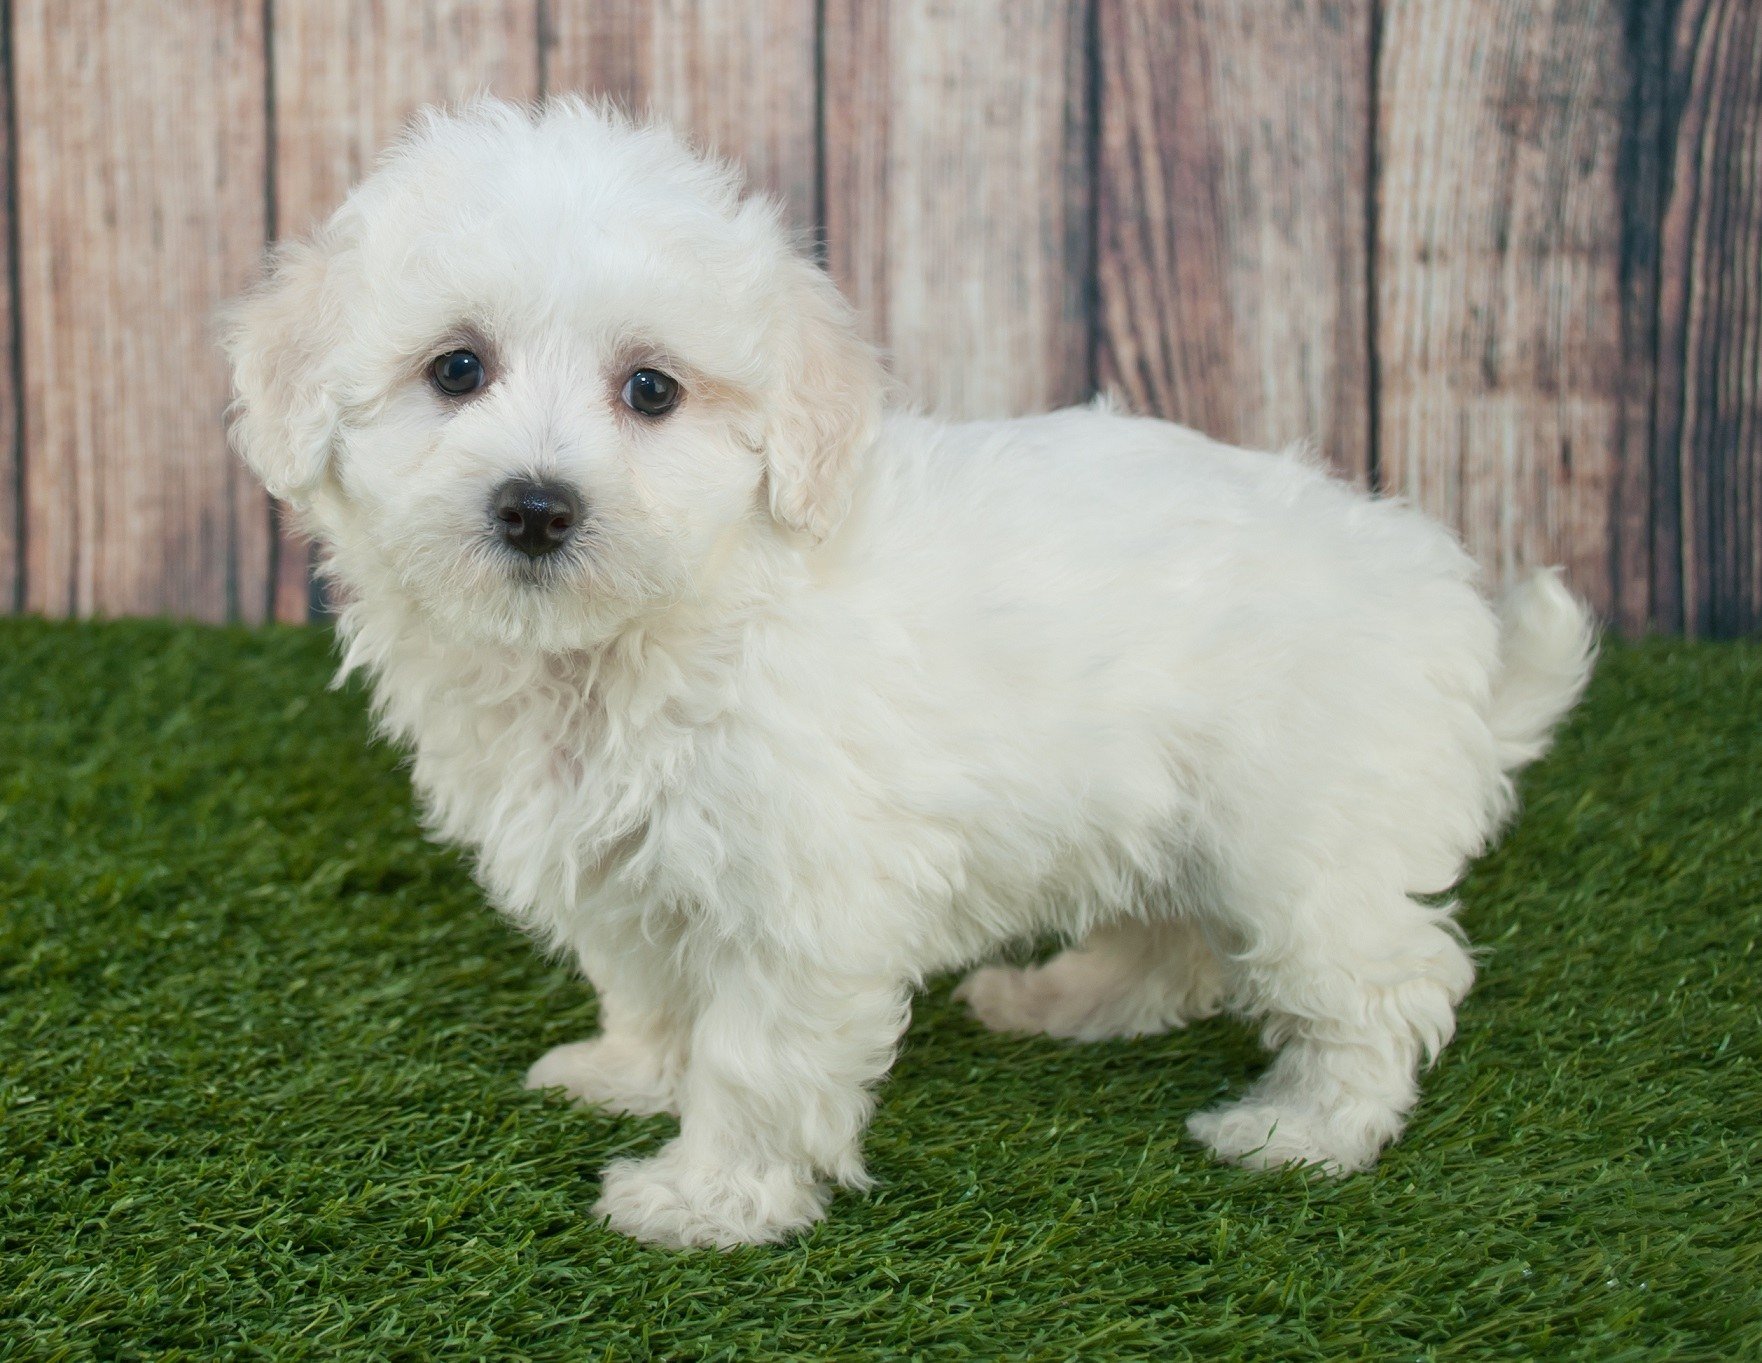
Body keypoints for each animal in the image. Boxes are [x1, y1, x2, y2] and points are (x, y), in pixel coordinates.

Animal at [220, 101, 1599, 1253]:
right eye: (455, 368)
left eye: (651, 390)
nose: (537, 506)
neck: (654, 629)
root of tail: (1448, 613)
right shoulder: (626, 866)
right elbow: (656, 988)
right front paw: (632, 1072)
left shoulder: (797, 895)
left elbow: (754, 1055)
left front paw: (709, 1197)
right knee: (1175, 941)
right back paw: (1066, 998)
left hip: (1303, 836)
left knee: (1382, 980)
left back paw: (1305, 1127)